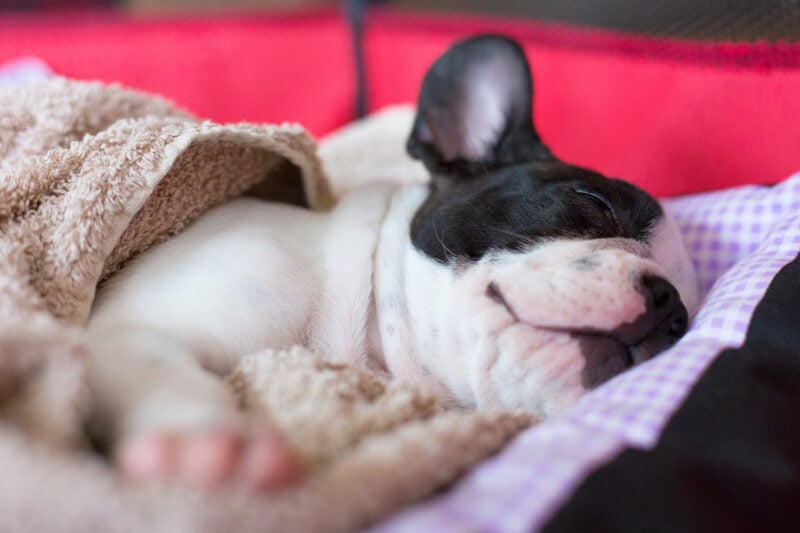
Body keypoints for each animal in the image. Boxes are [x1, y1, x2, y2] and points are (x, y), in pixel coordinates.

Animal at [87, 35, 696, 488]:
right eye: (596, 205)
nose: (670, 307)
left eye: (685, 320)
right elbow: (164, 366)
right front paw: (204, 444)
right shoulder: (134, 328)